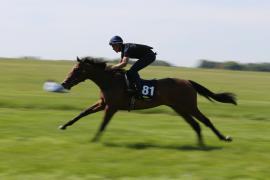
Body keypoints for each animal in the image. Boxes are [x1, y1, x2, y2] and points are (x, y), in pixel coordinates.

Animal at [59, 57, 236, 146]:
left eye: (77, 69)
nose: (64, 83)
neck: (110, 81)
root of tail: (188, 82)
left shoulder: (111, 107)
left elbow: (103, 124)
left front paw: (94, 139)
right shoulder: (103, 104)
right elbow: (83, 113)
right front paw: (64, 125)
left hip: (189, 106)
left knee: (206, 121)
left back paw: (223, 138)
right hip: (179, 108)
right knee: (196, 125)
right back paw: (200, 144)